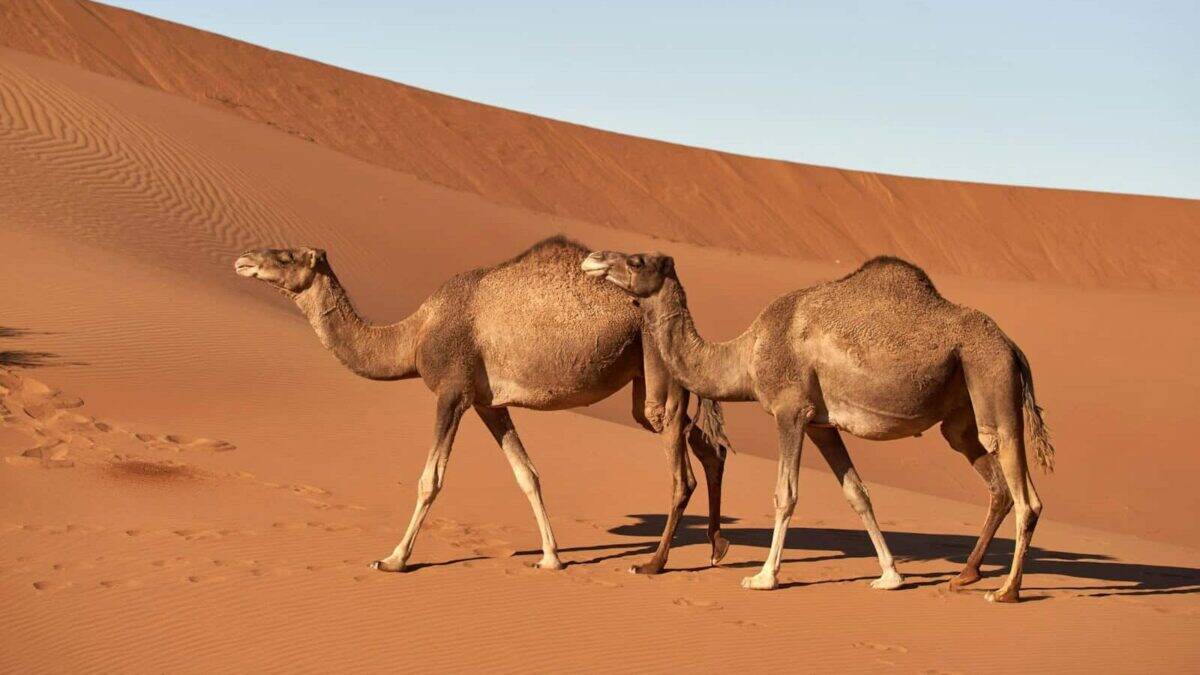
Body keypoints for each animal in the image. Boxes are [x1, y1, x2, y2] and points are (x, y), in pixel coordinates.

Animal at [234, 236, 732, 574]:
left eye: (285, 256)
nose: (244, 259)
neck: (413, 335)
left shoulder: (451, 391)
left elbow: (430, 480)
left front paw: (393, 558)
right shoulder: (488, 402)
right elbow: (526, 474)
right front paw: (551, 557)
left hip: (658, 374)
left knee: (680, 466)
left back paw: (656, 563)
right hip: (645, 381)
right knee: (708, 445)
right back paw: (716, 547)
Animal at [582, 250, 1054, 602]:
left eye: (636, 260)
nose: (593, 259)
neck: (746, 354)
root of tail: (1013, 347)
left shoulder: (789, 411)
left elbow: (785, 494)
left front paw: (763, 577)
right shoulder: (821, 424)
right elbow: (857, 494)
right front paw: (890, 576)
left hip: (990, 377)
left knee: (1026, 495)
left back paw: (1007, 590)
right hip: (962, 415)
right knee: (995, 484)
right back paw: (966, 575)